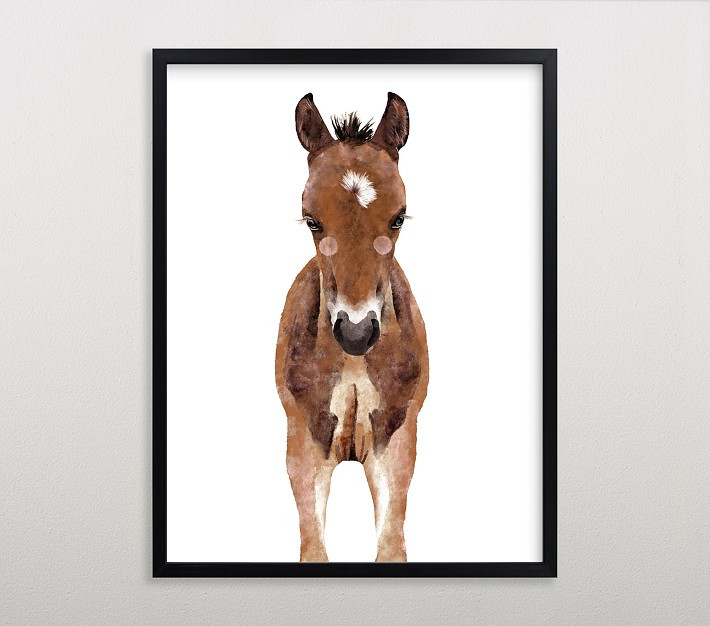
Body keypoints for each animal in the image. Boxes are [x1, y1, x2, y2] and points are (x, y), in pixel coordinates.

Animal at [275, 92, 429, 562]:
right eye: (311, 219)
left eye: (399, 217)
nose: (357, 333)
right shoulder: (304, 445)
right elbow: (313, 550)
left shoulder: (395, 443)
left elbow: (391, 548)